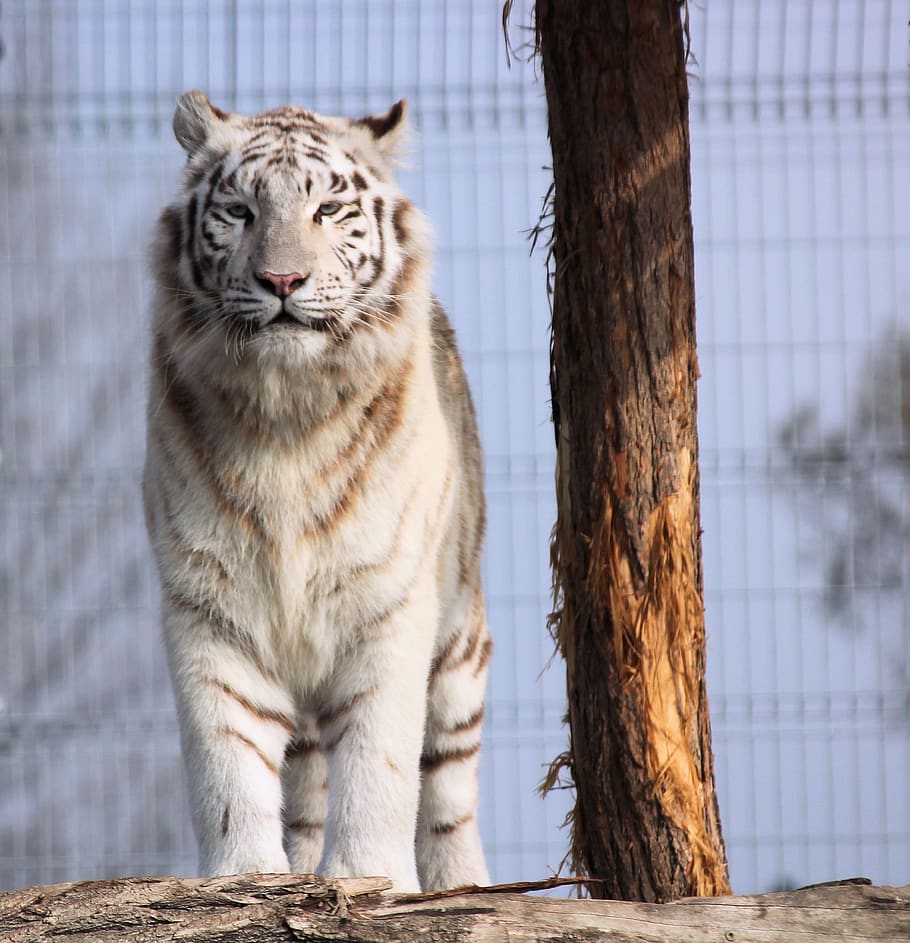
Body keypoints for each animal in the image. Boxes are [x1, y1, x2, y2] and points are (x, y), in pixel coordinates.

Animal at [142, 90, 491, 892]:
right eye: (239, 211)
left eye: (327, 209)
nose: (282, 282)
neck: (285, 416)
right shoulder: (209, 608)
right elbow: (227, 761)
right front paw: (243, 880)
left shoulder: (388, 605)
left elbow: (378, 762)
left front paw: (370, 878)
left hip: (459, 643)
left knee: (448, 786)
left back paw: (465, 885)